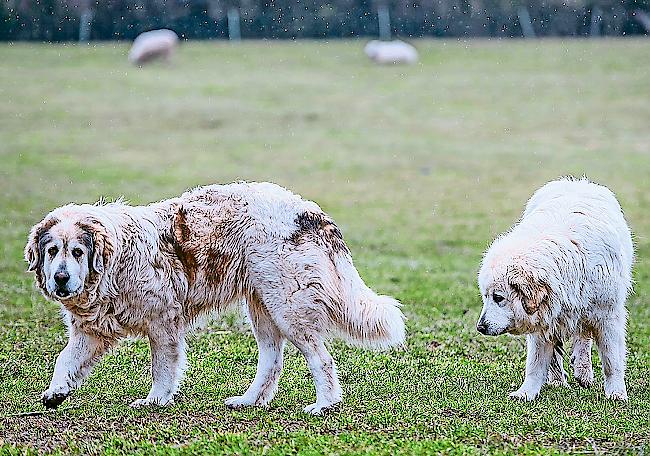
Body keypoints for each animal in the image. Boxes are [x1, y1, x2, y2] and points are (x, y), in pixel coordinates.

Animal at [26, 181, 404, 414]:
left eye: (77, 251)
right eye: (52, 251)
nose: (60, 278)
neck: (116, 260)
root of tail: (306, 209)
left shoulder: (163, 323)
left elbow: (162, 367)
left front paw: (155, 400)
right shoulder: (89, 331)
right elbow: (65, 359)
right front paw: (56, 392)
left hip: (288, 309)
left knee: (321, 360)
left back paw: (324, 404)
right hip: (262, 309)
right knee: (272, 362)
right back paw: (249, 401)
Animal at [474, 176, 632, 400]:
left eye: (498, 298)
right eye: (486, 297)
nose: (480, 327)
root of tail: (576, 181)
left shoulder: (608, 316)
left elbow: (612, 361)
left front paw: (616, 393)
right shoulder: (544, 319)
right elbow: (535, 364)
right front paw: (526, 393)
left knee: (583, 336)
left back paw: (583, 371)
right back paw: (559, 380)